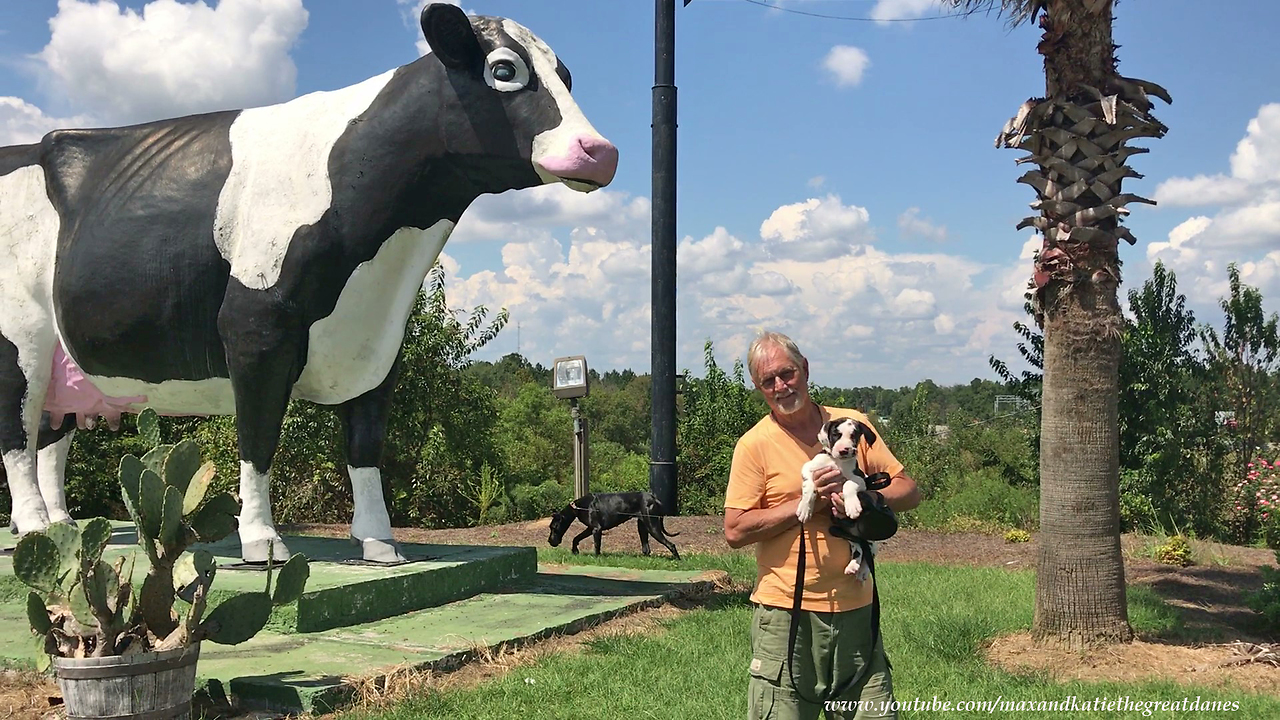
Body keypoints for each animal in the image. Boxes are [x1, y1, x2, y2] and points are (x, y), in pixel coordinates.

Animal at [545, 489, 680, 558]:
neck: (578, 507)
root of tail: (654, 498)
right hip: (642, 527)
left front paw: (596, 558)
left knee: (671, 544)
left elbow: (597, 545)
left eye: (553, 527)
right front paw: (575, 551)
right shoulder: (590, 528)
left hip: (652, 526)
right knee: (646, 548)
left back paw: (677, 560)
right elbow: (576, 538)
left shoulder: (596, 529)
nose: (549, 541)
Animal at [798, 415, 880, 576]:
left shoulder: (860, 479)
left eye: (854, 435)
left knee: (870, 549)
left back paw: (863, 570)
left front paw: (852, 507)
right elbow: (809, 486)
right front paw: (805, 509)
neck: (836, 461)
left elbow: (848, 484)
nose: (844, 450)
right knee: (859, 546)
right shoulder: (808, 468)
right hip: (836, 530)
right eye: (836, 434)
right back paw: (853, 565)